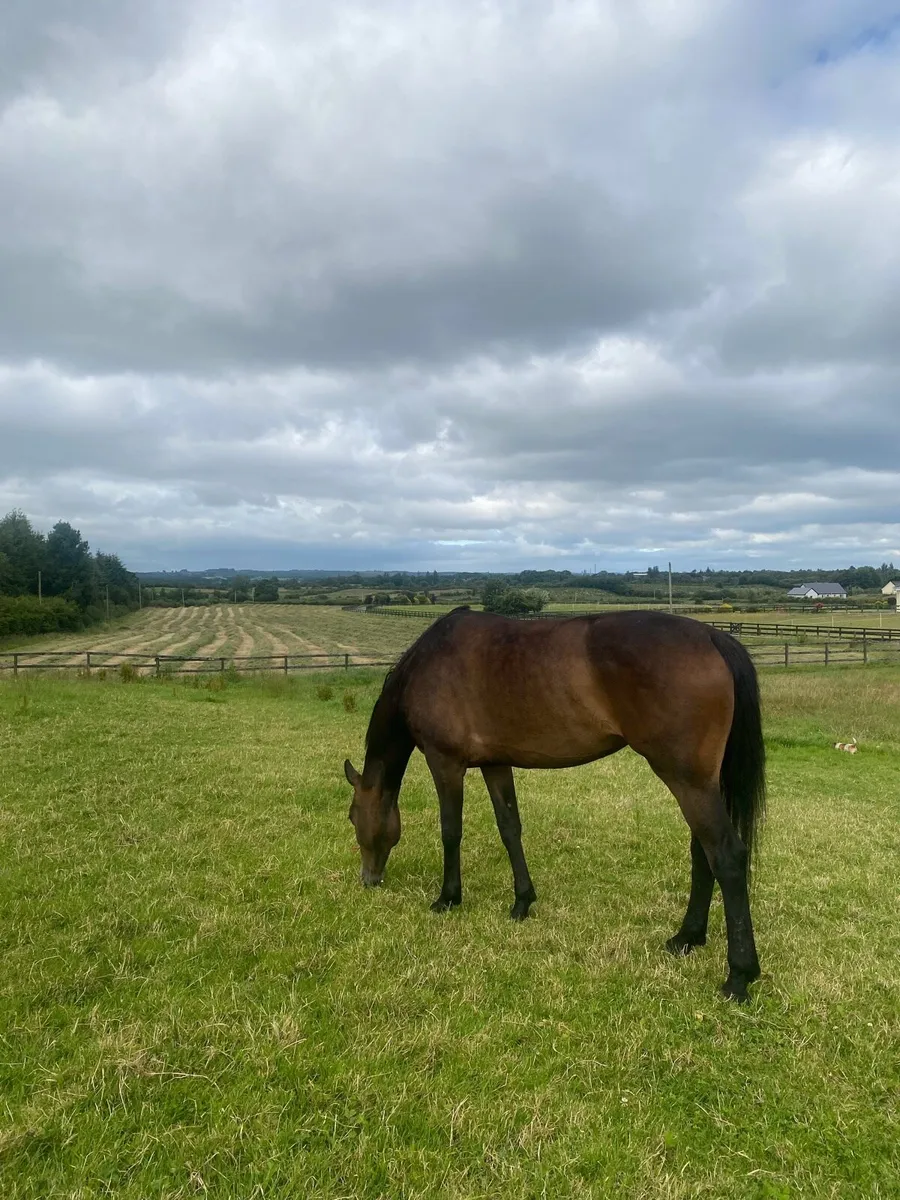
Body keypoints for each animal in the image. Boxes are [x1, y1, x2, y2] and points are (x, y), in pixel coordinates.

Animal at [344, 607, 766, 1001]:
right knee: (702, 852)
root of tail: (712, 637)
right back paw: (687, 938)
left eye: (351, 817)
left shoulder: (444, 761)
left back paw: (739, 975)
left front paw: (448, 898)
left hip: (687, 780)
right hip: (701, 784)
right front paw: (521, 901)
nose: (369, 879)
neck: (430, 662)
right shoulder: (495, 763)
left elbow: (450, 831)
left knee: (726, 856)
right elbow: (509, 828)